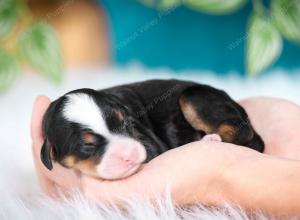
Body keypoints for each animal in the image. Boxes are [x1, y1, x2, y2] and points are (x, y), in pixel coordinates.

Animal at [41, 80, 264, 180]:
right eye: (87, 146)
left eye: (125, 124)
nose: (130, 154)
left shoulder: (149, 142)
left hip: (194, 96)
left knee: (239, 131)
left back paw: (210, 140)